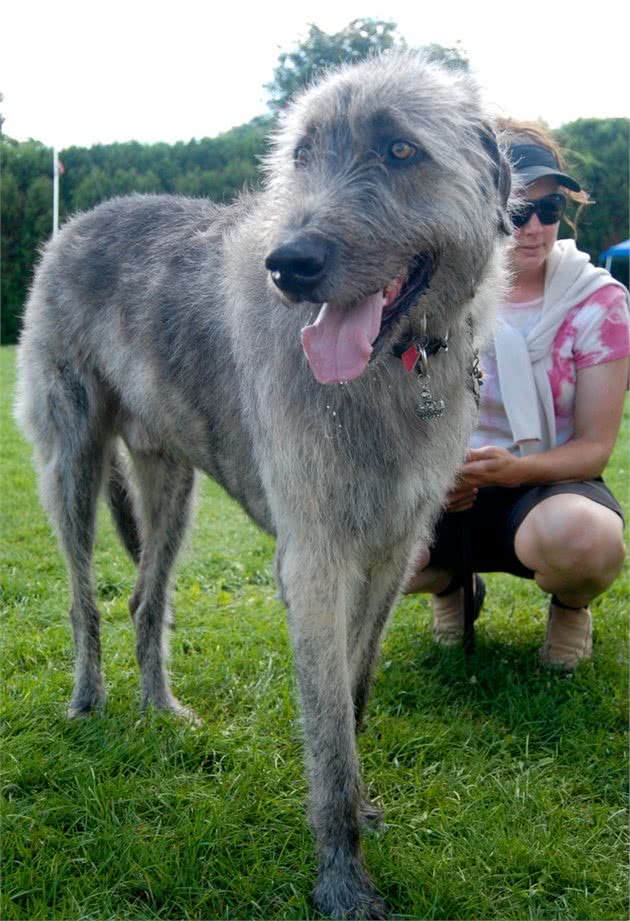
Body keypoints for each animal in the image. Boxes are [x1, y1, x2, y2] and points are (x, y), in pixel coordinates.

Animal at [16, 52, 512, 920]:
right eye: (302, 153)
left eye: (400, 150)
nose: (291, 264)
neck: (396, 369)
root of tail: (77, 222)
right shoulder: (314, 559)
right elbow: (329, 735)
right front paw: (342, 879)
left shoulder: (392, 551)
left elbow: (356, 688)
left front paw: (364, 816)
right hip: (72, 460)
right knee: (85, 599)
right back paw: (88, 701)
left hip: (171, 481)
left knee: (145, 599)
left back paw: (161, 710)